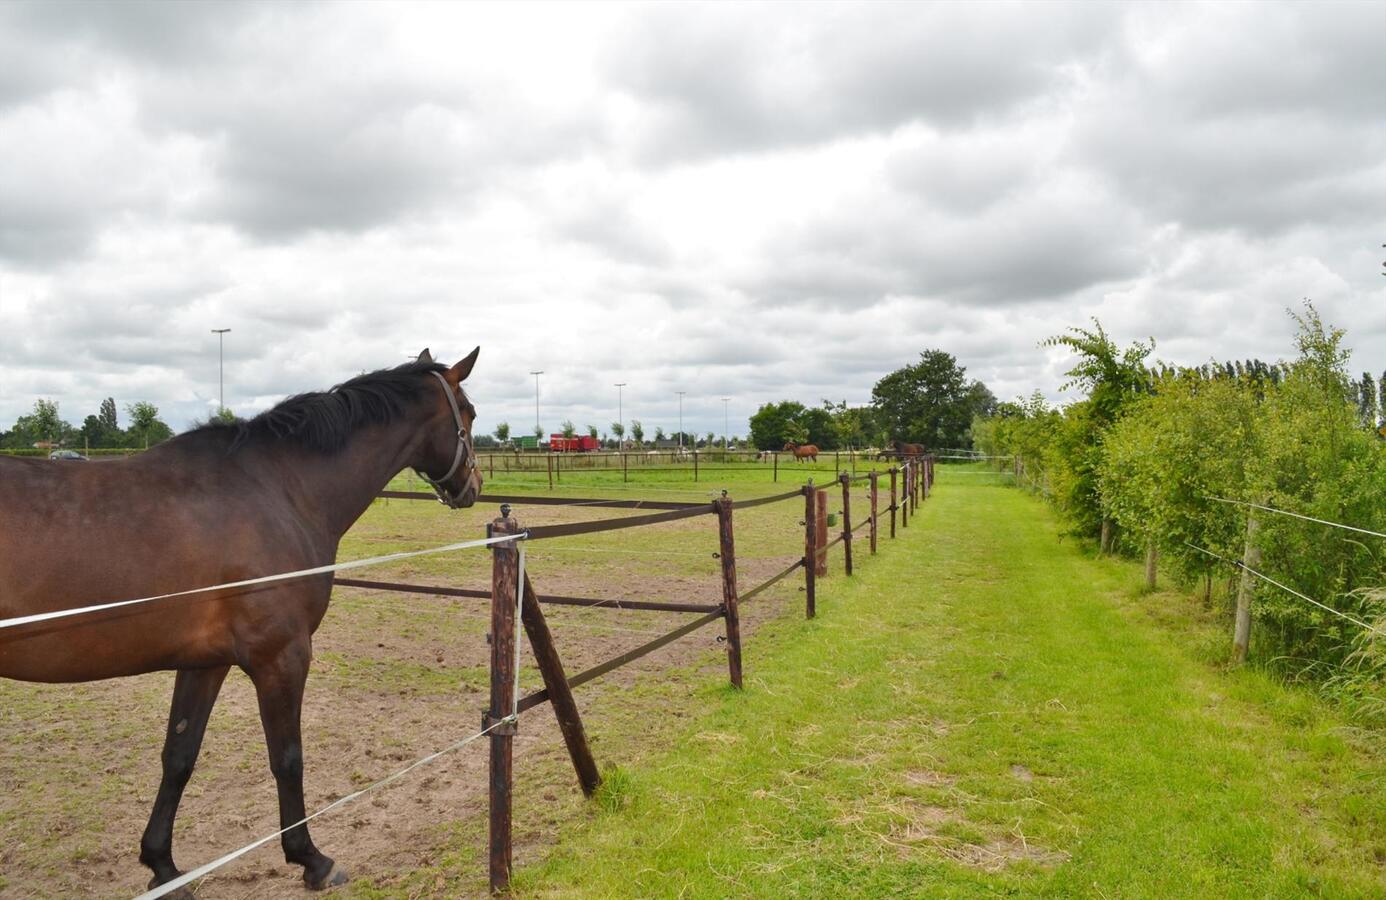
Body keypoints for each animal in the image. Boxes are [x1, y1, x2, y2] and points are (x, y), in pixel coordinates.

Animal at [0, 345, 485, 893]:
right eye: (468, 413)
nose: (473, 484)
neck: (279, 489)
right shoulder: (281, 657)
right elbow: (288, 758)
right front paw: (311, 859)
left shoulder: (204, 663)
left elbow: (179, 756)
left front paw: (162, 866)